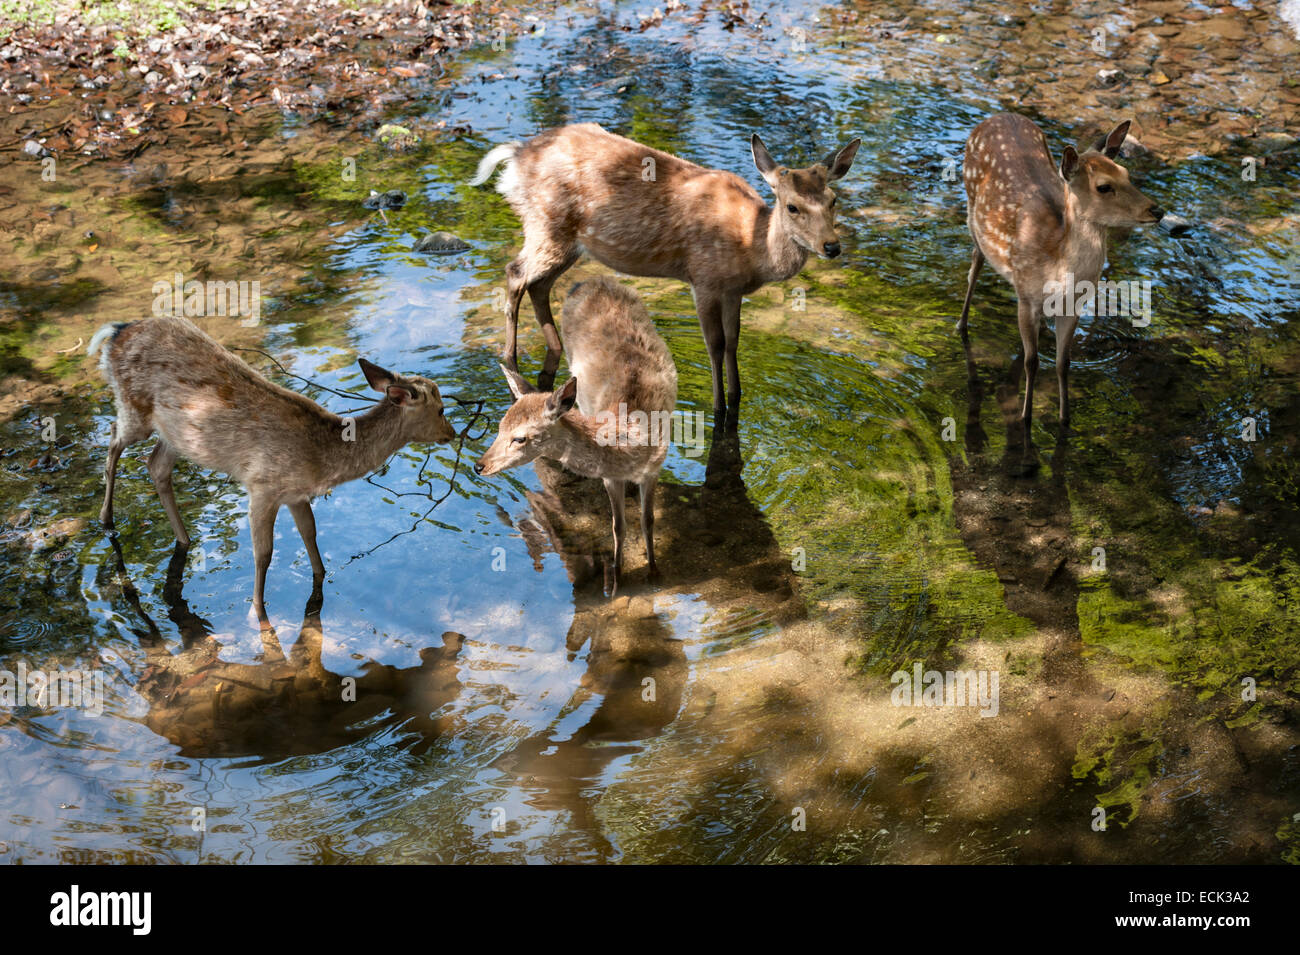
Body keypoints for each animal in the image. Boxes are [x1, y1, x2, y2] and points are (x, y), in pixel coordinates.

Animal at [91, 317, 457, 623]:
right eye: (441, 409)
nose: (452, 434)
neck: (324, 454)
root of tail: (117, 330)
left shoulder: (296, 494)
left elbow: (310, 533)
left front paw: (321, 579)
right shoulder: (262, 485)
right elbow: (263, 553)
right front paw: (257, 609)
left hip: (176, 435)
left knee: (156, 465)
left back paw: (184, 538)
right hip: (133, 407)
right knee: (113, 439)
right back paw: (106, 518)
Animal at [473, 122, 857, 418]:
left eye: (833, 200)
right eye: (792, 206)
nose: (832, 246)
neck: (751, 247)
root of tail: (514, 157)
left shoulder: (732, 290)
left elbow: (734, 341)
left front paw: (737, 396)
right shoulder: (703, 277)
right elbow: (715, 344)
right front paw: (719, 406)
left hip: (568, 241)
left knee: (539, 284)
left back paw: (553, 349)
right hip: (546, 222)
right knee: (515, 273)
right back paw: (508, 359)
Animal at [478, 272, 681, 595]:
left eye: (520, 437)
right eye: (499, 427)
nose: (480, 465)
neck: (630, 439)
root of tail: (591, 280)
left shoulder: (655, 467)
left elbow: (647, 521)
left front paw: (653, 573)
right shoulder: (611, 476)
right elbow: (618, 526)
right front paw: (617, 579)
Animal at [956, 111, 1170, 426]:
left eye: (1126, 174)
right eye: (1103, 186)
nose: (1157, 210)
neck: (1056, 266)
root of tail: (997, 116)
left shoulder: (1074, 306)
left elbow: (1063, 363)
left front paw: (1065, 418)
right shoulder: (1025, 297)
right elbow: (1032, 362)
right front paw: (1025, 417)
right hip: (973, 213)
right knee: (974, 265)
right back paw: (961, 324)